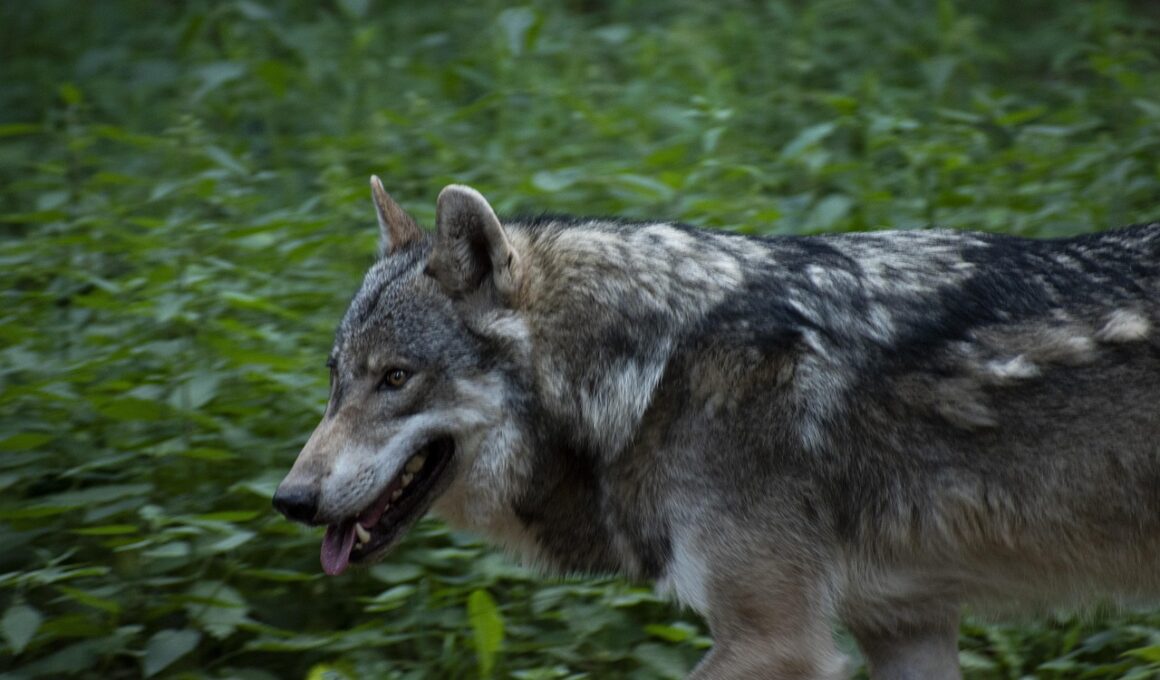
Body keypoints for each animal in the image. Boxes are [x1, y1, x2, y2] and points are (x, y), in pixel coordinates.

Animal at [273, 177, 1160, 679]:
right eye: (336, 377)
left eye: (395, 379)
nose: (289, 500)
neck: (651, 379)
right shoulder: (906, 629)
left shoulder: (778, 639)